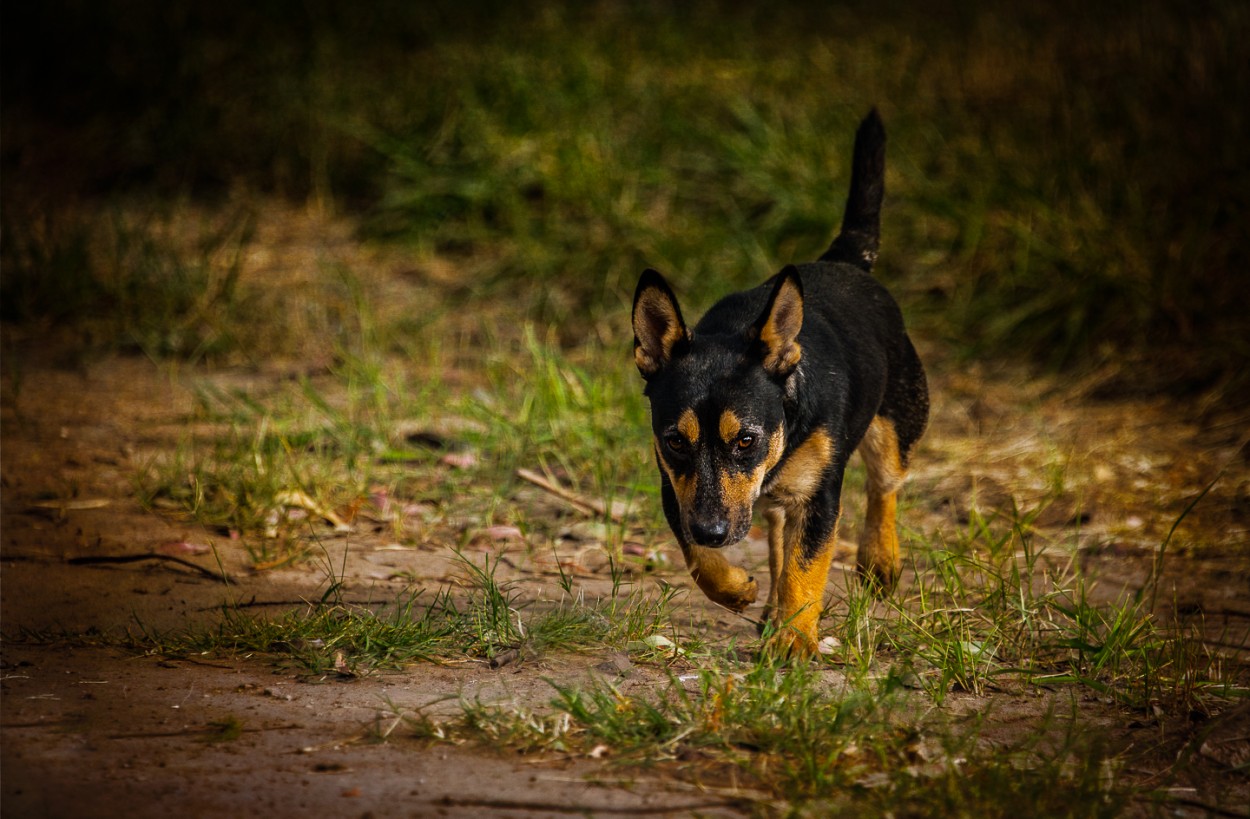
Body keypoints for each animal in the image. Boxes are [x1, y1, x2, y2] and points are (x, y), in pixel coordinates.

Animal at [635, 110, 930, 660]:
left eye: (746, 440)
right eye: (675, 441)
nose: (714, 530)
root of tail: (845, 260)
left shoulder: (820, 499)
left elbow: (806, 566)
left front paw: (794, 641)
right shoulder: (675, 487)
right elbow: (697, 556)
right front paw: (737, 589)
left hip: (897, 423)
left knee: (884, 487)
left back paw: (879, 562)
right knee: (774, 529)